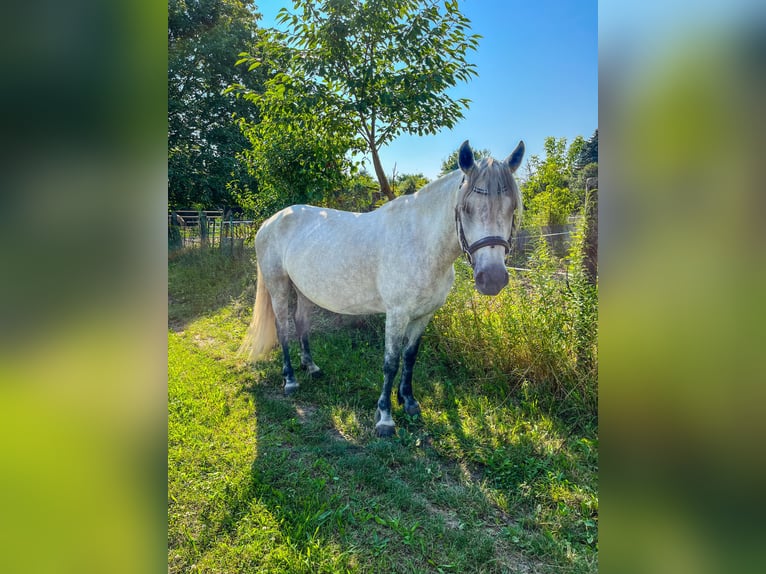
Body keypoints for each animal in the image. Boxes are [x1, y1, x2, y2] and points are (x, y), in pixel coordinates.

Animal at [243, 140, 524, 436]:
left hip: (305, 288)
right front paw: (385, 418)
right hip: (278, 284)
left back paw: (311, 366)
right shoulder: (397, 313)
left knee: (301, 323)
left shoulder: (424, 315)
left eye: (512, 209)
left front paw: (409, 401)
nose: (492, 278)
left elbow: (410, 357)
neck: (420, 242)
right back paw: (290, 380)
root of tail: (270, 222)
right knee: (282, 327)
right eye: (466, 208)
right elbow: (390, 362)